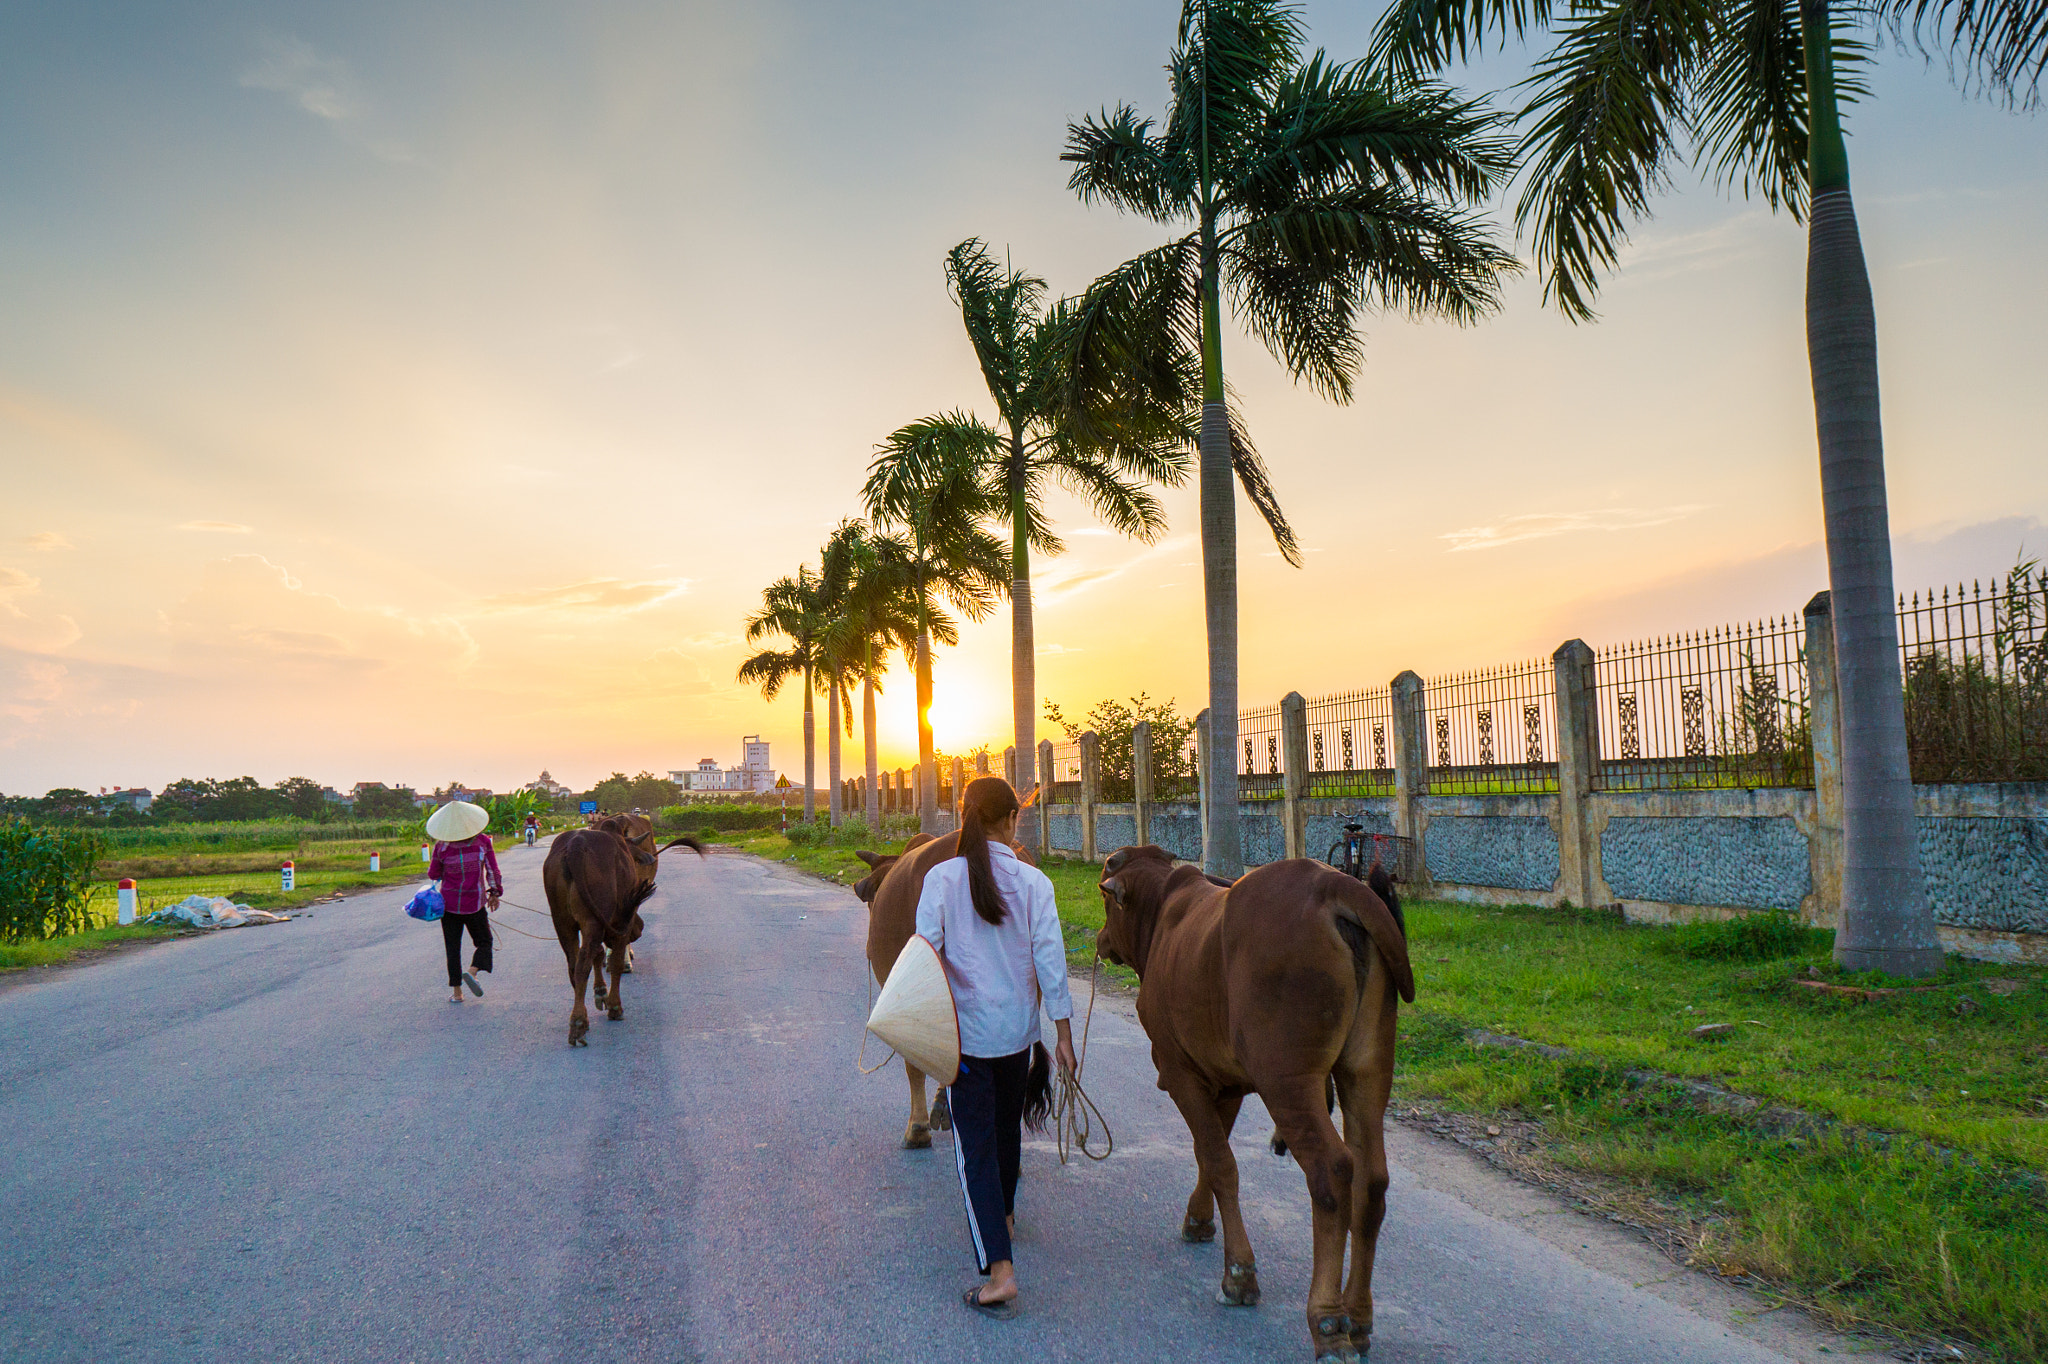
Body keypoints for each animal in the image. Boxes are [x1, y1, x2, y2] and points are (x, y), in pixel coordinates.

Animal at [544, 819, 704, 1040]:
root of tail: (576, 844)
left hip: (562, 921)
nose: (640, 928)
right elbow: (616, 962)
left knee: (574, 962)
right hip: (596, 920)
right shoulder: (621, 924)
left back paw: (580, 1016)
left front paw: (600, 992)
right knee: (585, 961)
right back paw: (579, 1022)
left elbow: (600, 955)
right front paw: (614, 1006)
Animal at [1105, 843, 1409, 1351]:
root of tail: (1332, 883)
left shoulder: (1179, 1072)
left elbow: (1221, 1162)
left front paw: (1239, 1274)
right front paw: (1199, 1219)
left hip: (1288, 1081)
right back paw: (1359, 1316)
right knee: (1372, 1181)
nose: (1101, 939)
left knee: (1332, 1172)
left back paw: (1327, 1319)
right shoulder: (1223, 1082)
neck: (1164, 913)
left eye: (1107, 901)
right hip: (1367, 1072)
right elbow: (1208, 1154)